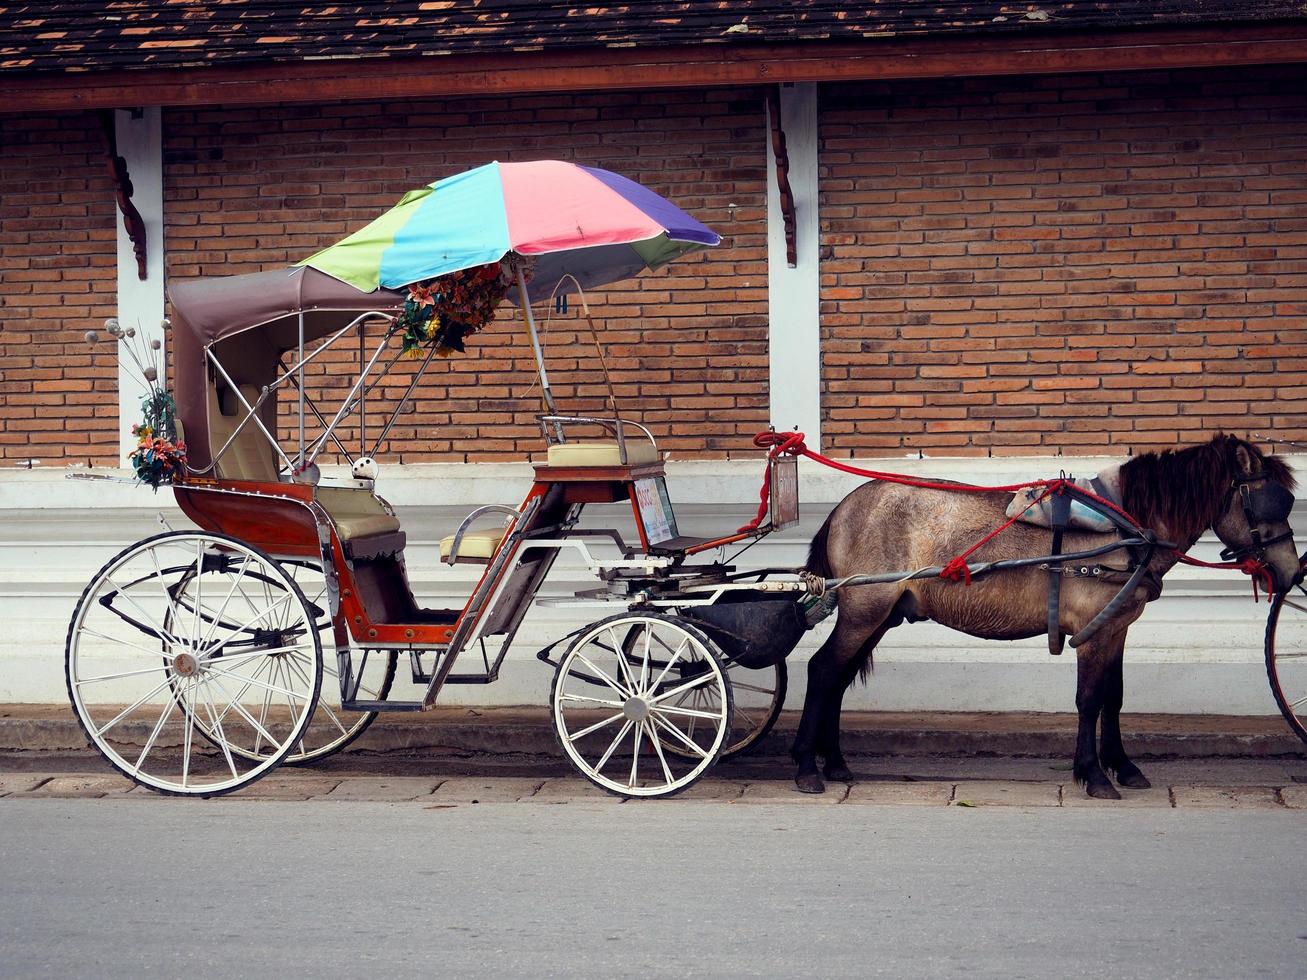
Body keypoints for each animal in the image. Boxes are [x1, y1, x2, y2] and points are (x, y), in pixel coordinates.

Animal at [794, 436, 1296, 799]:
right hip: (864, 611)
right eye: (1273, 503)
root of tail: (842, 507)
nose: (1292, 572)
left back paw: (835, 763)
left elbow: (1113, 697)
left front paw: (1123, 766)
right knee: (823, 672)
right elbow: (1089, 700)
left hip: (878, 616)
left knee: (838, 678)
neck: (1127, 528)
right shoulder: (1093, 631)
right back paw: (805, 767)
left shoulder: (1116, 627)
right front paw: (1094, 775)